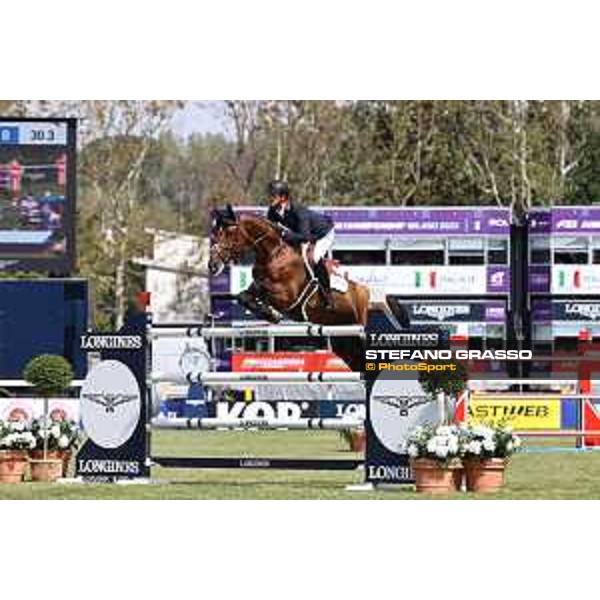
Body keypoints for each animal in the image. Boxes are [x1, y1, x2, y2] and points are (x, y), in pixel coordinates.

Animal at [209, 209, 372, 372]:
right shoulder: (256, 288)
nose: (212, 265)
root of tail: (365, 290)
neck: (274, 254)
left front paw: (272, 313)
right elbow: (243, 296)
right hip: (341, 338)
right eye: (215, 233)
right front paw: (269, 314)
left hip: (358, 328)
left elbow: (265, 292)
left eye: (229, 232)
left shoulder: (287, 296)